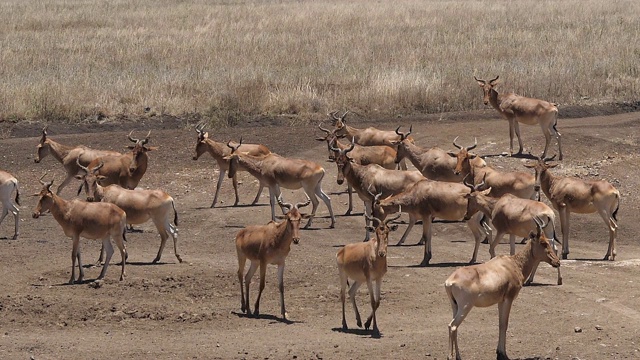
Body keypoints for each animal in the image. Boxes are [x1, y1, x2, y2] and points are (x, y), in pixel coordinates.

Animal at [444, 215, 560, 360]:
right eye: (543, 243)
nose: (557, 262)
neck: (512, 264)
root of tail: (450, 281)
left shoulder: (500, 300)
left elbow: (500, 324)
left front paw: (499, 352)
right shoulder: (508, 299)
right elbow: (505, 324)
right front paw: (503, 354)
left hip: (455, 306)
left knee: (453, 327)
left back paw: (458, 356)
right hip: (465, 306)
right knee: (453, 326)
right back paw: (452, 356)